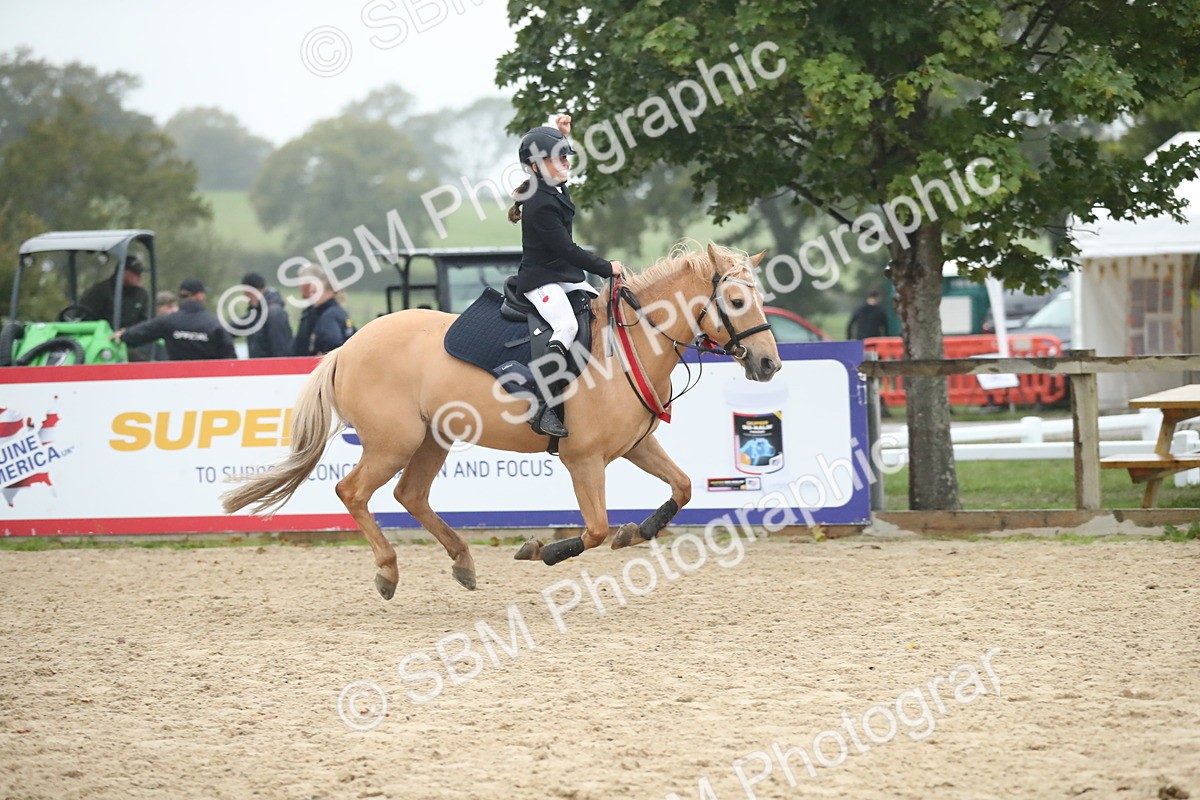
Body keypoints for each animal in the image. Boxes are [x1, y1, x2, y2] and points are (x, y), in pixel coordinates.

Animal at [220, 243, 782, 599]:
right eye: (735, 301)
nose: (768, 364)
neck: (630, 343)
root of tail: (347, 346)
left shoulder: (635, 446)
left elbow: (681, 488)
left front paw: (636, 533)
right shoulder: (583, 460)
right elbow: (594, 529)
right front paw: (541, 551)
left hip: (432, 439)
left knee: (411, 495)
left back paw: (463, 562)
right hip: (392, 443)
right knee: (353, 492)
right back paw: (388, 572)